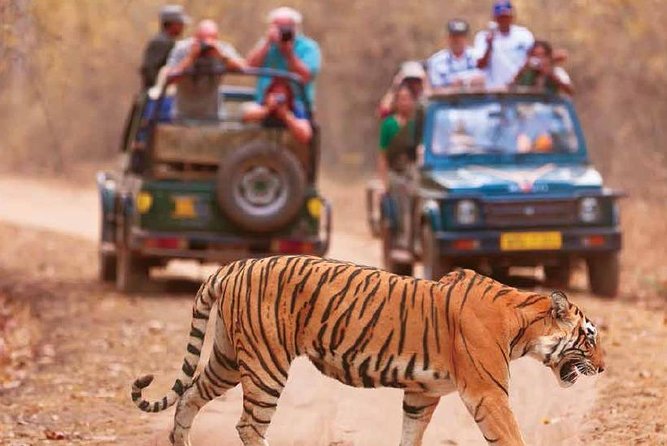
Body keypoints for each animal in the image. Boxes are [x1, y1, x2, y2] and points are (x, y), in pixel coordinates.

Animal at [130, 255, 605, 446]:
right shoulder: (487, 393)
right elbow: (510, 436)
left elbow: (410, 435)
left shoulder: (422, 394)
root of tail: (231, 266)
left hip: (229, 358)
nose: (602, 368)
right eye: (590, 337)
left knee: (189, 396)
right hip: (266, 365)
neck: (522, 324)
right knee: (248, 424)